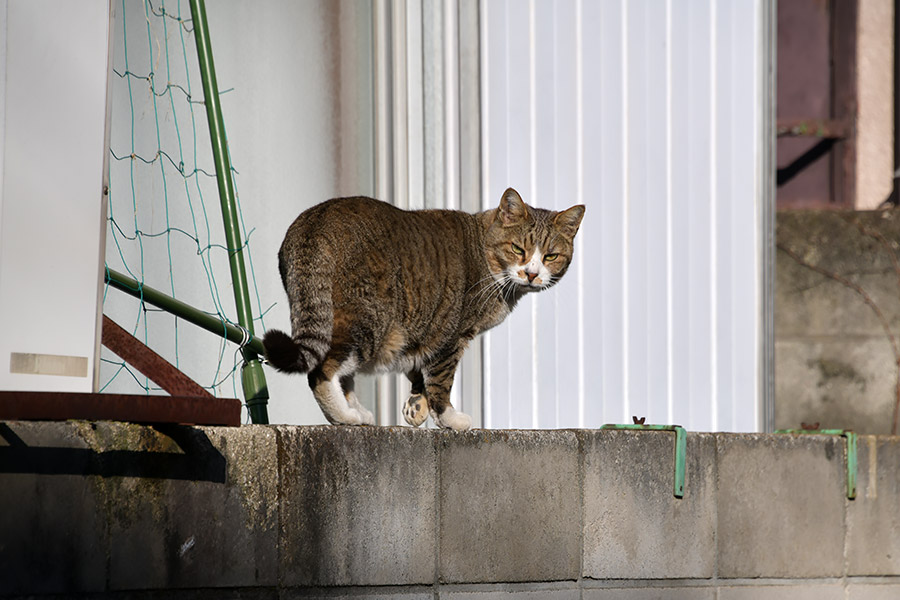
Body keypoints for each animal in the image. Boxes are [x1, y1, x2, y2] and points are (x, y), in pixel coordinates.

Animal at [262, 188, 584, 426]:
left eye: (551, 256)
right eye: (518, 249)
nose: (531, 273)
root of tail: (314, 221)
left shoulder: (425, 331)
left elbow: (420, 368)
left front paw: (417, 405)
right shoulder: (454, 335)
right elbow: (442, 379)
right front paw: (449, 418)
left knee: (343, 370)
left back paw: (357, 411)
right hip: (367, 319)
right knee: (323, 369)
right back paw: (345, 415)